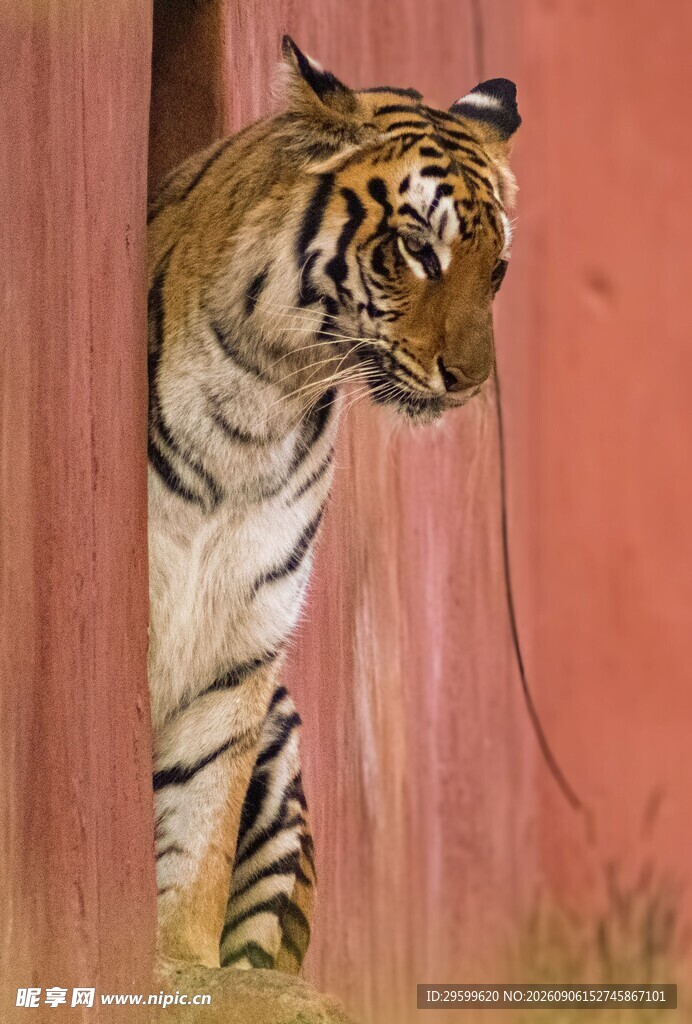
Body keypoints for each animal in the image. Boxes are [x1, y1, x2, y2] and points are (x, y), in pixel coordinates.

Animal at [148, 34, 520, 986]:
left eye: (496, 268)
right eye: (419, 248)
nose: (472, 382)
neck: (258, 398)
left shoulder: (241, 646)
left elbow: (199, 837)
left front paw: (183, 962)